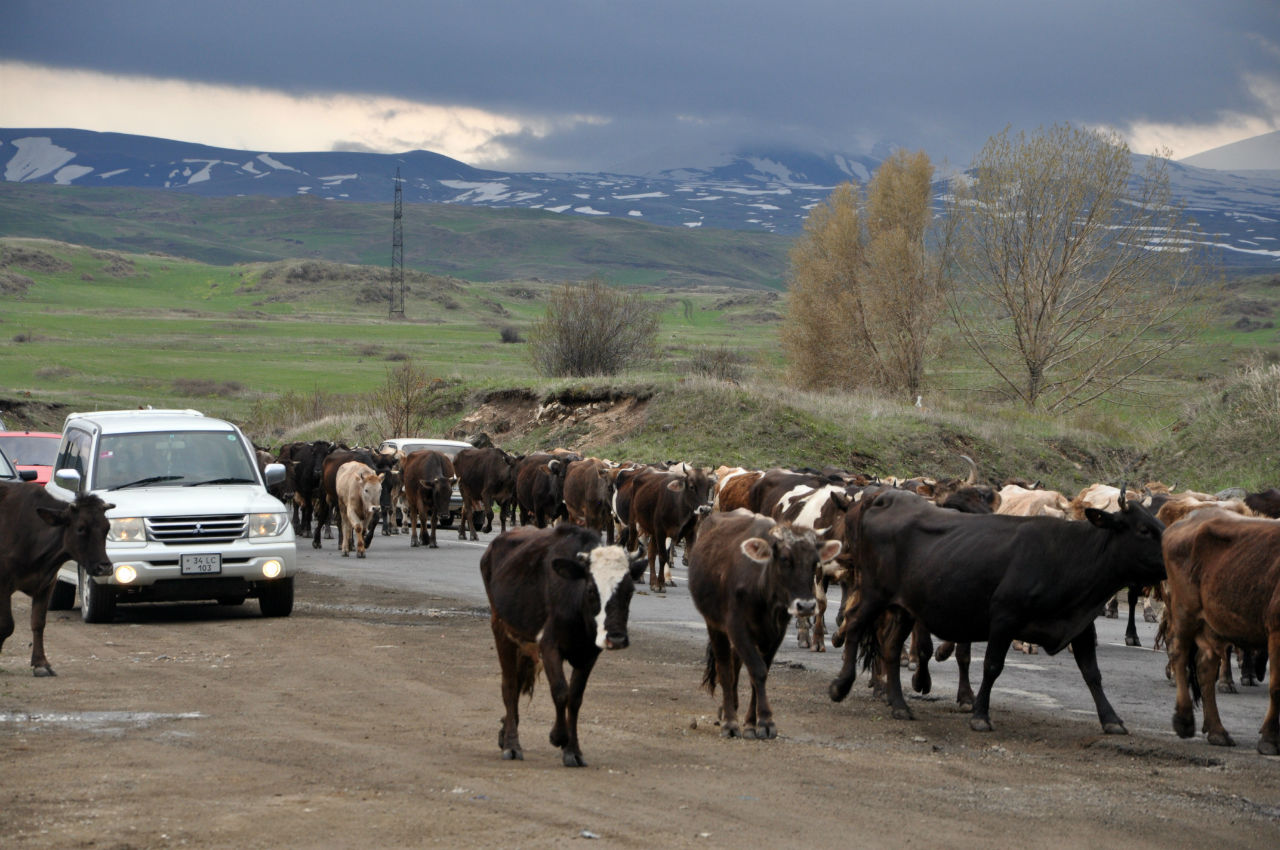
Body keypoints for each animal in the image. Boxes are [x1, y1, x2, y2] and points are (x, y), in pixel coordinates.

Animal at [0, 483, 115, 675]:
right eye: (81, 528)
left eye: (107, 528)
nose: (104, 567)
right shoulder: (3, 585)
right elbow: (6, 626)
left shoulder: (47, 584)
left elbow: (38, 623)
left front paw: (41, 663)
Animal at [478, 522, 645, 768]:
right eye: (591, 590)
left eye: (630, 590)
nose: (615, 638)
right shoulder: (549, 647)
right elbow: (560, 692)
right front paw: (558, 736)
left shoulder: (589, 654)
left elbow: (575, 698)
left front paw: (573, 750)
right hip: (502, 631)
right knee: (509, 686)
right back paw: (511, 744)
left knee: (517, 684)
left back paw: (505, 731)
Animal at [829, 483, 1172, 737]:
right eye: (1143, 529)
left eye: (1159, 523)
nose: (1173, 552)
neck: (1069, 555)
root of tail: (886, 497)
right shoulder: (1005, 618)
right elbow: (992, 667)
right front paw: (981, 714)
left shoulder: (1082, 624)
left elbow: (1092, 674)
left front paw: (1111, 719)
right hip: (875, 593)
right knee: (854, 625)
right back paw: (841, 685)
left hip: (905, 607)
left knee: (889, 648)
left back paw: (899, 705)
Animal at [1167, 504, 1280, 752]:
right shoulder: (1276, 631)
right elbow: (1277, 688)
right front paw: (1269, 739)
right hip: (1185, 612)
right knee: (1179, 656)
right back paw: (1184, 720)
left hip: (1212, 624)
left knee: (1205, 668)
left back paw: (1217, 731)